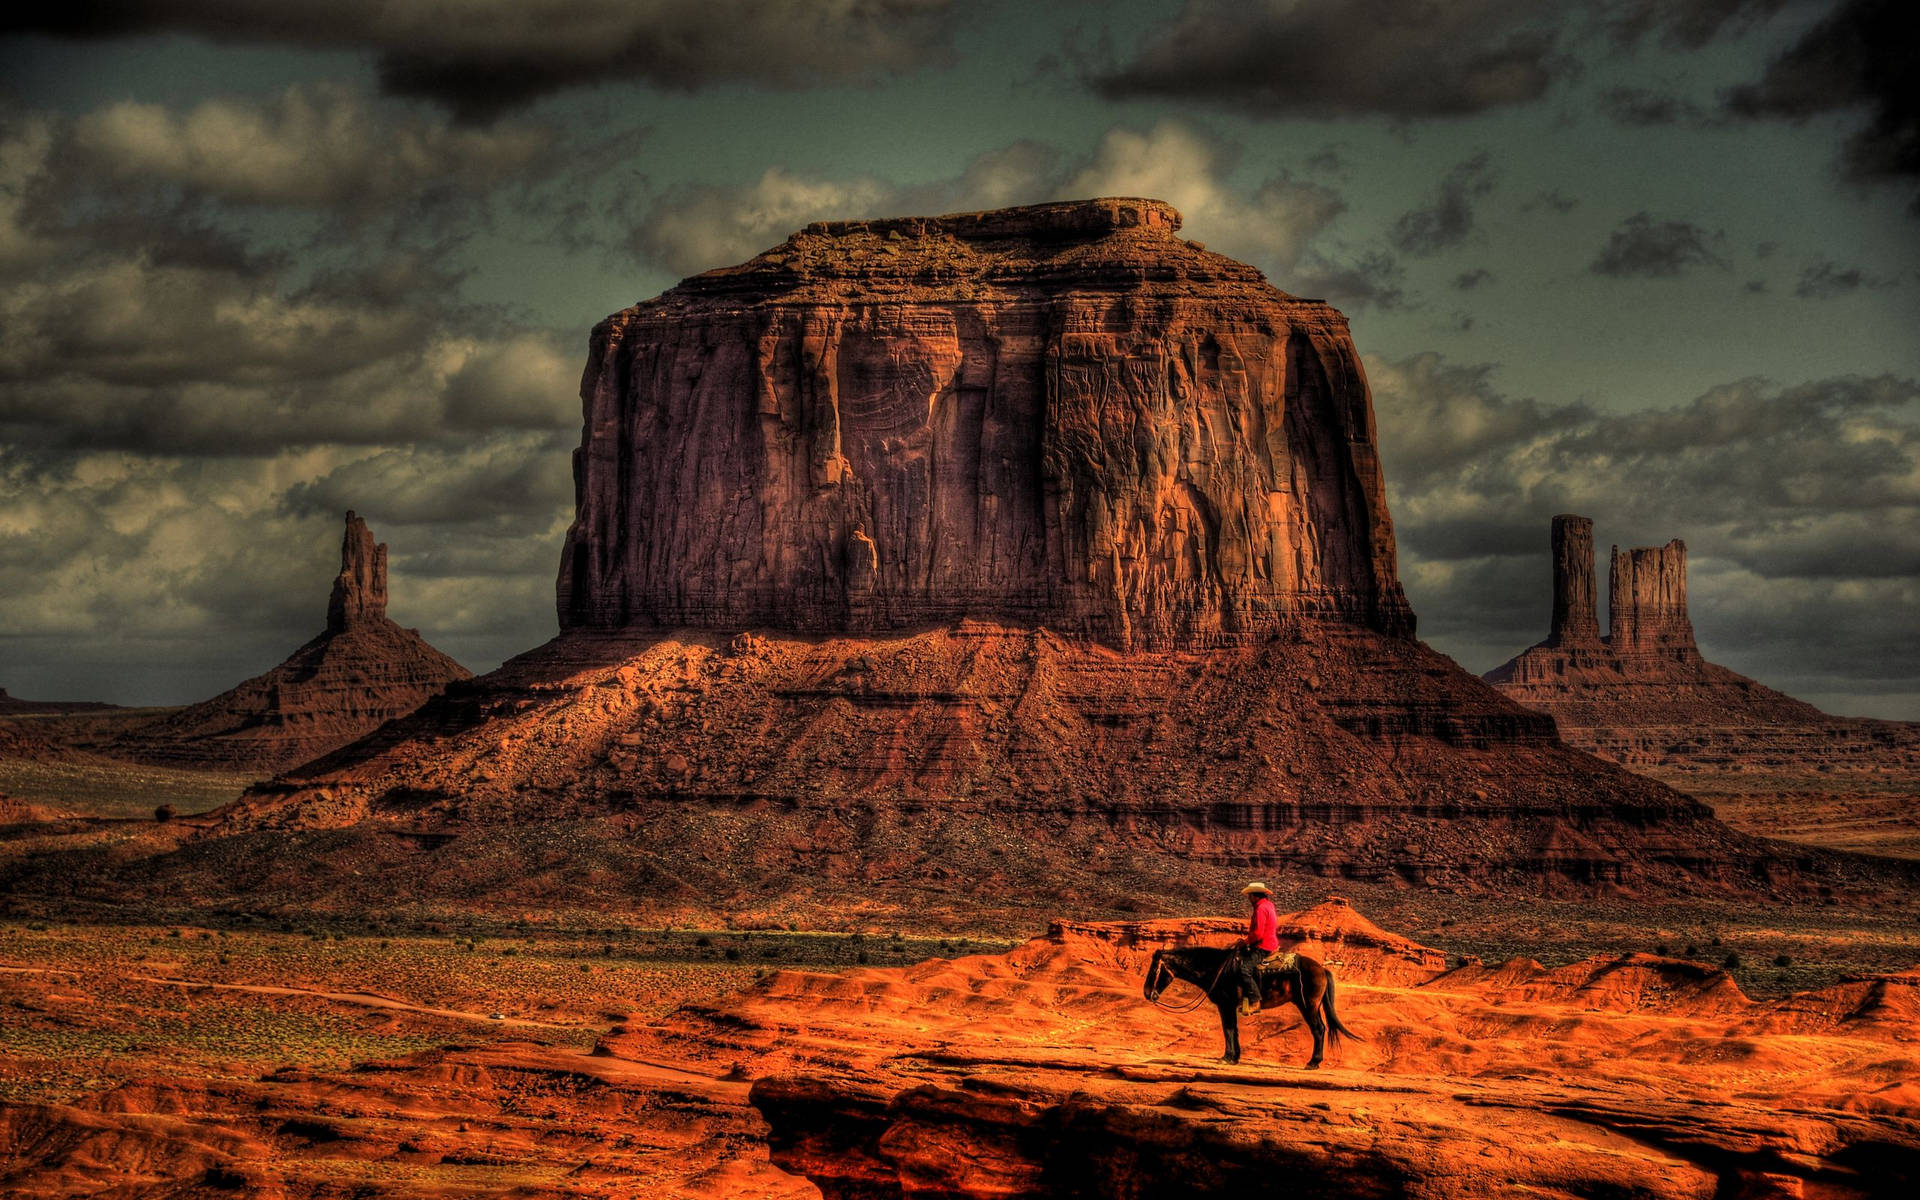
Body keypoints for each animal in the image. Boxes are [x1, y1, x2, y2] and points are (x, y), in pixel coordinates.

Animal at [1144, 944, 1359, 1067]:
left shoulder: (1225, 1005)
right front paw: (1235, 1057)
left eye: (1154, 969)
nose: (1147, 993)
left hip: (1309, 1006)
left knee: (1319, 1029)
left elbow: (1228, 1030)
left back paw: (1313, 1062)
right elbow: (1234, 1030)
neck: (1216, 968)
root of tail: (1322, 968)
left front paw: (1227, 1057)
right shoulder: (1230, 1006)